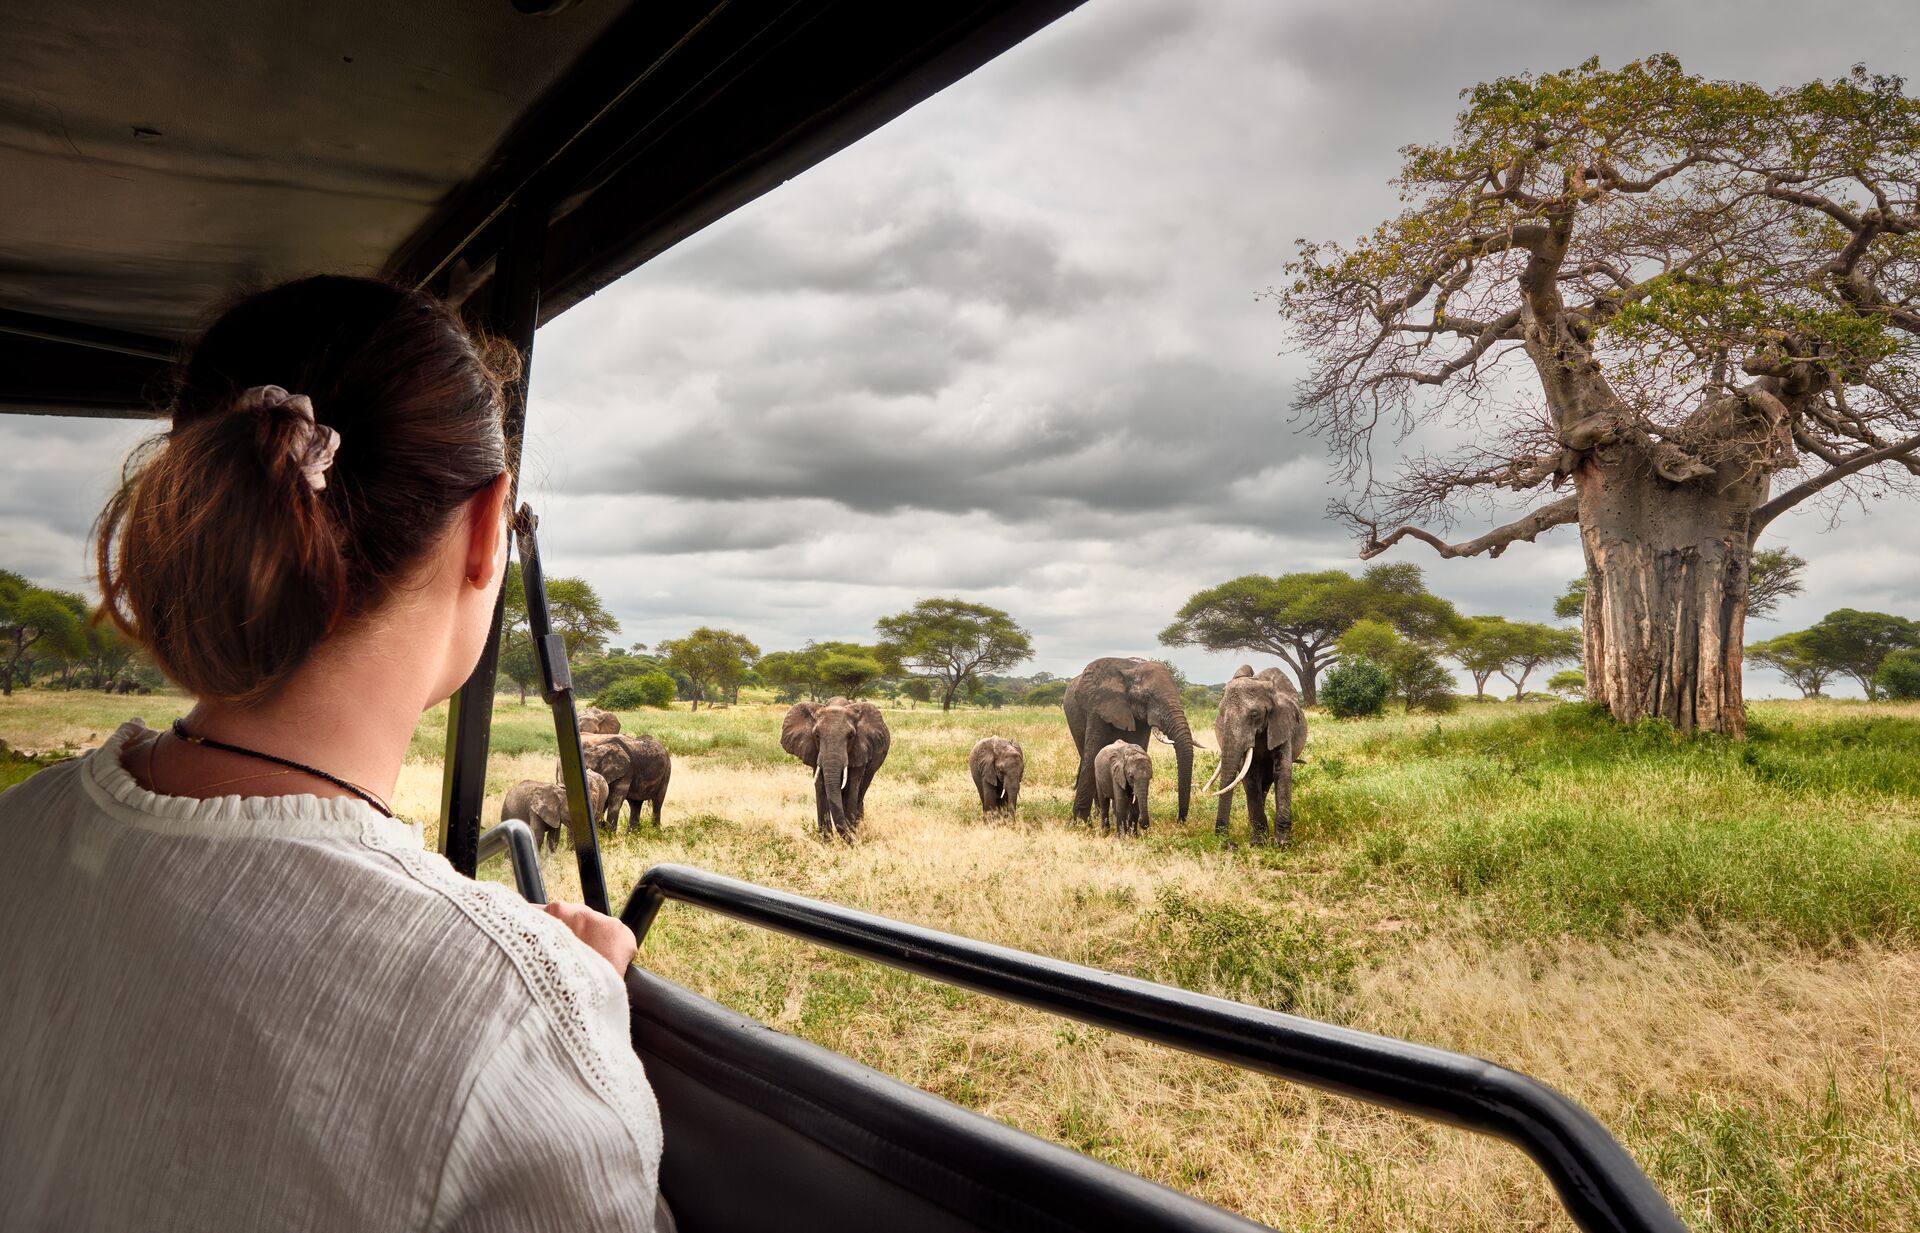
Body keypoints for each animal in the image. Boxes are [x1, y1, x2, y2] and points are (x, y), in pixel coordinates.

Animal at [781, 697, 890, 839]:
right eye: (816, 735)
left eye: (850, 736)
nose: (855, 840)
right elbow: (821, 787)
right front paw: (827, 840)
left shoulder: (860, 750)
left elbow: (852, 788)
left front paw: (852, 835)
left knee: (861, 792)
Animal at [1064, 657, 1195, 825]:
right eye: (1147, 697)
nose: (1179, 820)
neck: (1132, 669)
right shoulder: (1098, 707)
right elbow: (1093, 755)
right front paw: (1079, 823)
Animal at [1206, 665, 1309, 846]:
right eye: (1221, 715)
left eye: (1254, 714)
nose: (1231, 845)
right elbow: (1251, 775)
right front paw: (1258, 844)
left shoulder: (1283, 725)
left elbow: (1282, 771)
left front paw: (1282, 845)